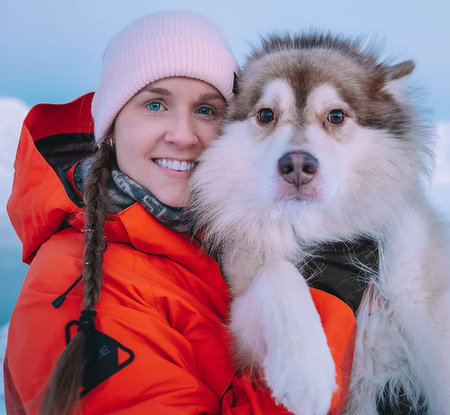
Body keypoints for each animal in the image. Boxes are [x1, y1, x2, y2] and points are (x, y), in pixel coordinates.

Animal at [186, 33, 450, 415]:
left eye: (336, 115)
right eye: (266, 114)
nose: (297, 165)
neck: (313, 228)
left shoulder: (416, 279)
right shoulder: (242, 319)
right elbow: (279, 274)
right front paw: (304, 369)